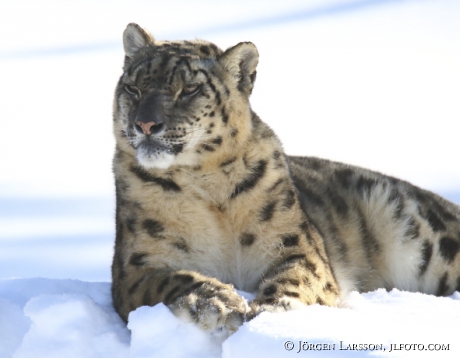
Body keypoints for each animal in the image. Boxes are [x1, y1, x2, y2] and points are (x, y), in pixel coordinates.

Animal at [111, 23, 460, 338]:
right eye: (133, 89)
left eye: (190, 89)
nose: (145, 123)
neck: (209, 189)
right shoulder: (135, 266)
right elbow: (173, 278)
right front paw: (216, 303)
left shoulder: (297, 245)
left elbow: (297, 276)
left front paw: (271, 310)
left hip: (426, 238)